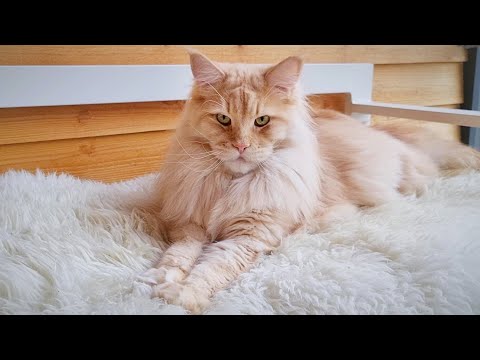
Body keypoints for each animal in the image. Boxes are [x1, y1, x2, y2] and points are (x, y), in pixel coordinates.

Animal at [137, 49, 478, 314]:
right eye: (223, 119)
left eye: (262, 121)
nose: (241, 146)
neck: (231, 182)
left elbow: (211, 268)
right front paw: (162, 277)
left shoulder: (249, 236)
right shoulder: (190, 224)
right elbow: (179, 255)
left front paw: (183, 295)